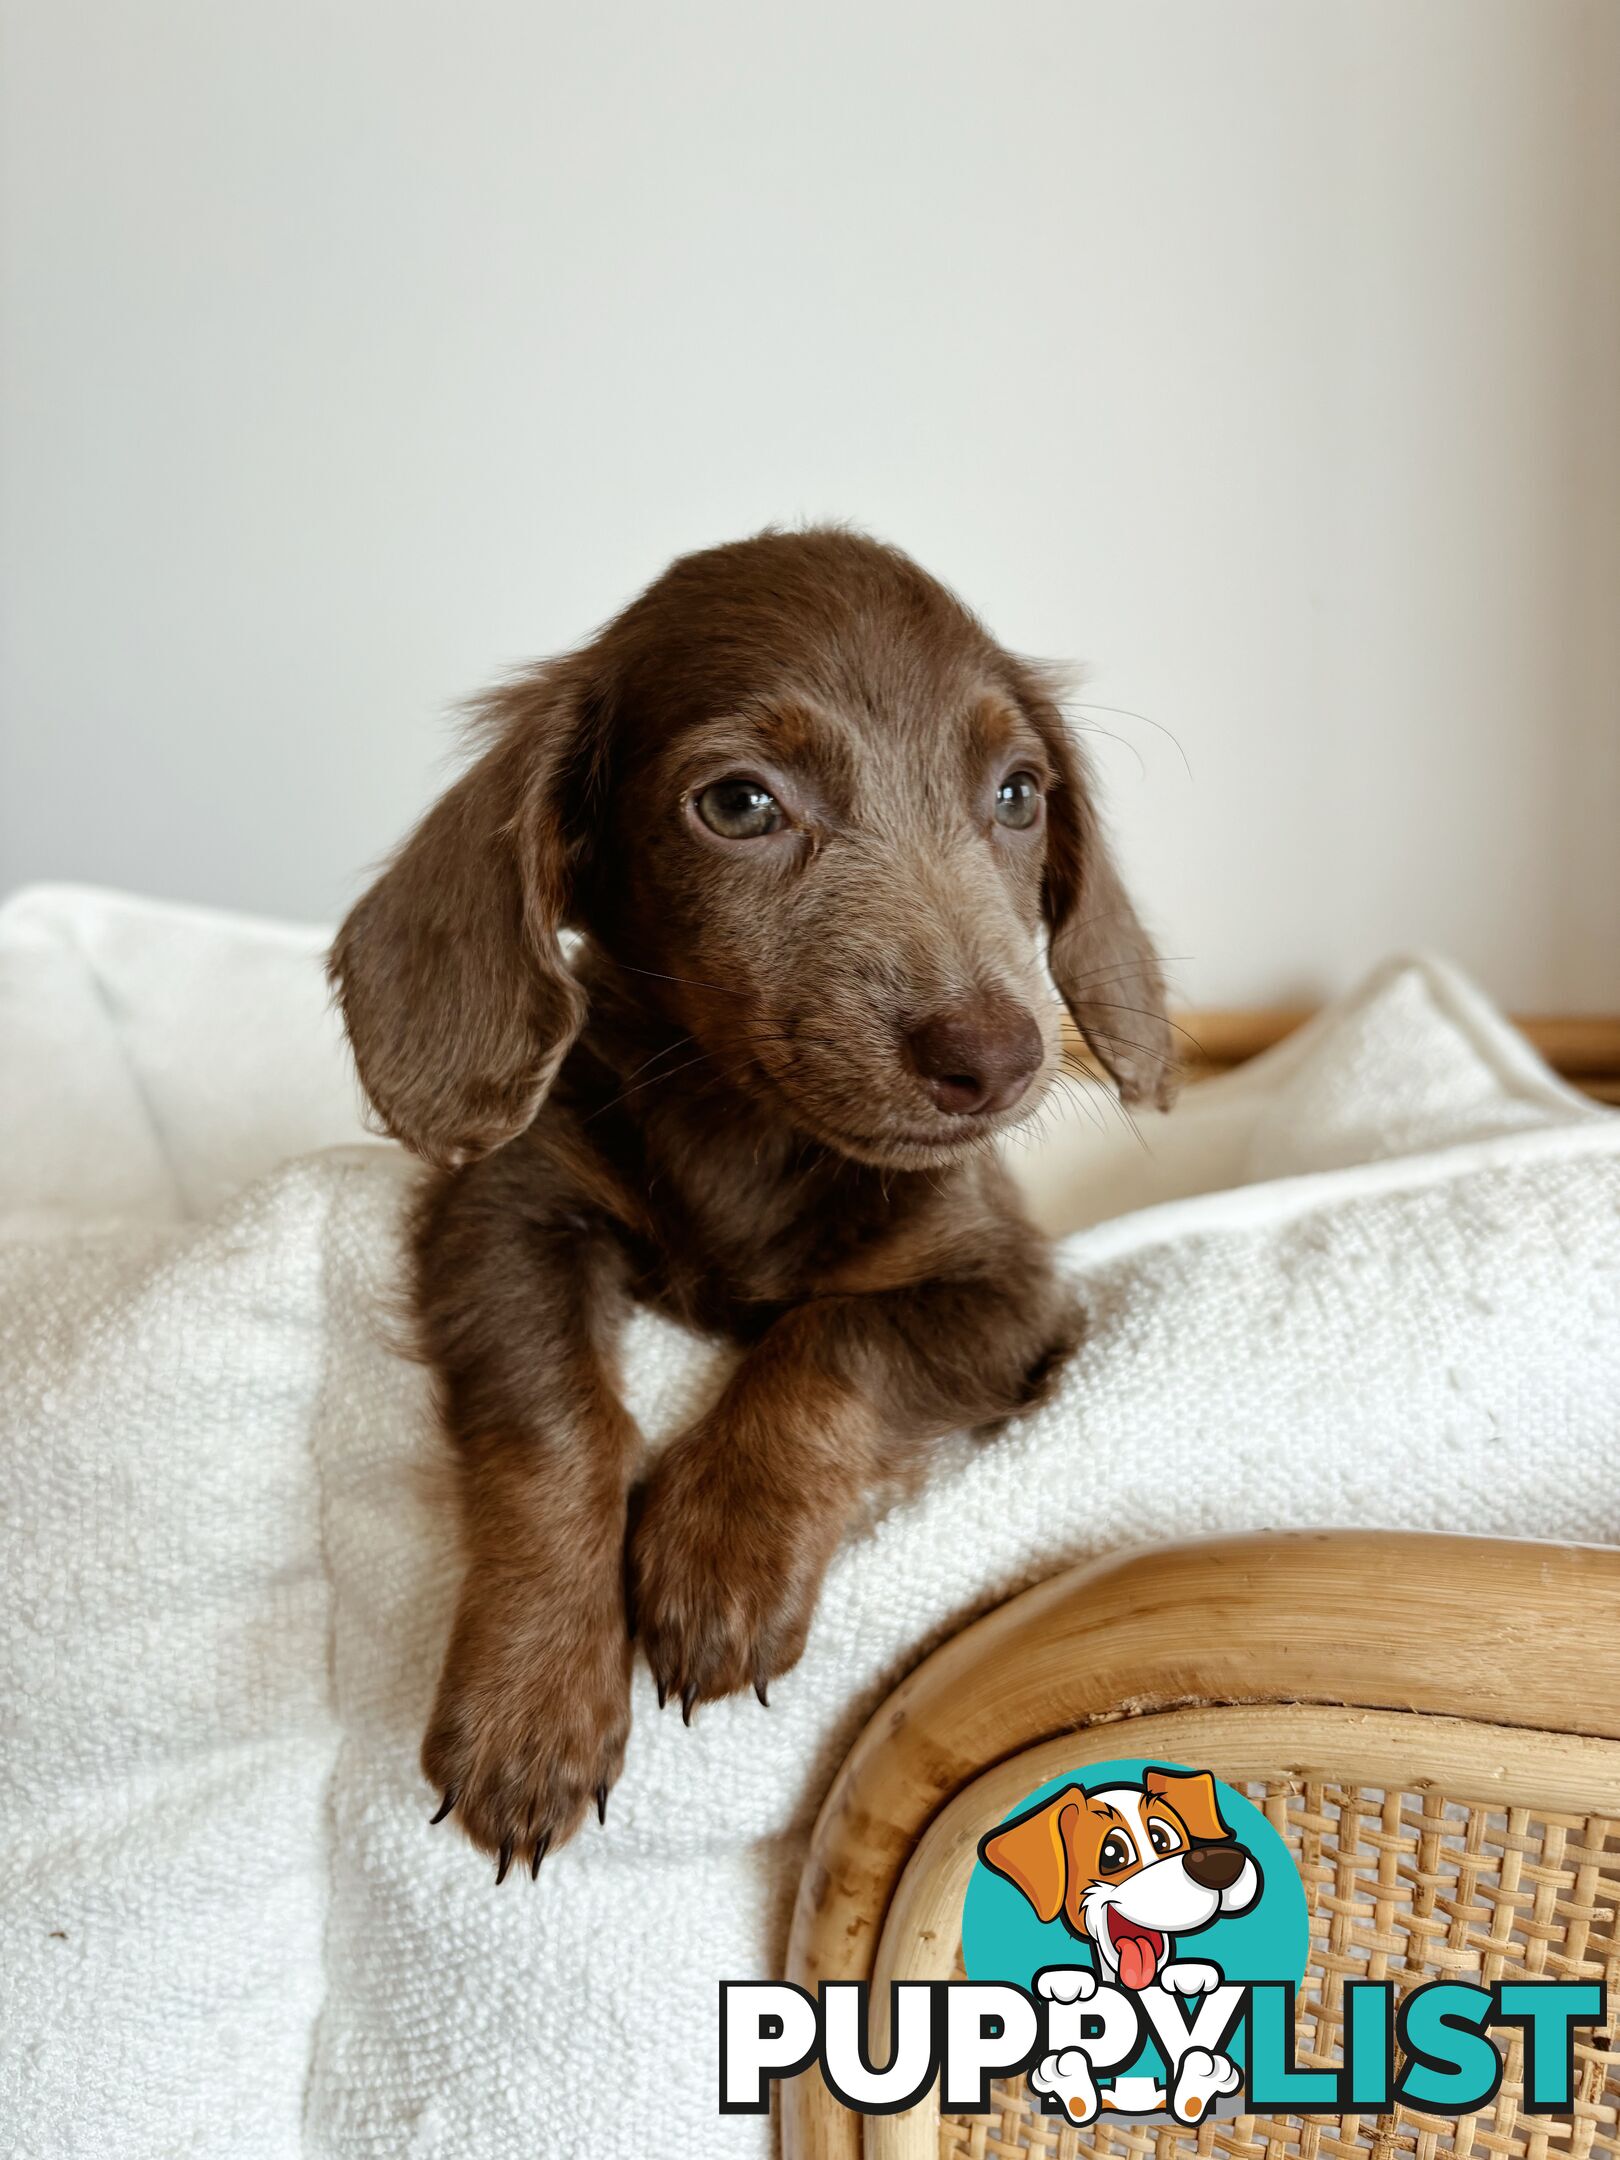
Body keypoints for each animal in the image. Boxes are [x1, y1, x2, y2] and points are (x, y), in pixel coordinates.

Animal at [330, 522, 1175, 1874]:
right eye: (739, 804)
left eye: (1017, 795)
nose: (999, 1059)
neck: (751, 1134)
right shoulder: (502, 1217)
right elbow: (554, 1423)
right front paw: (531, 1699)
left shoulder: (1009, 1290)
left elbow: (832, 1342)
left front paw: (720, 1550)